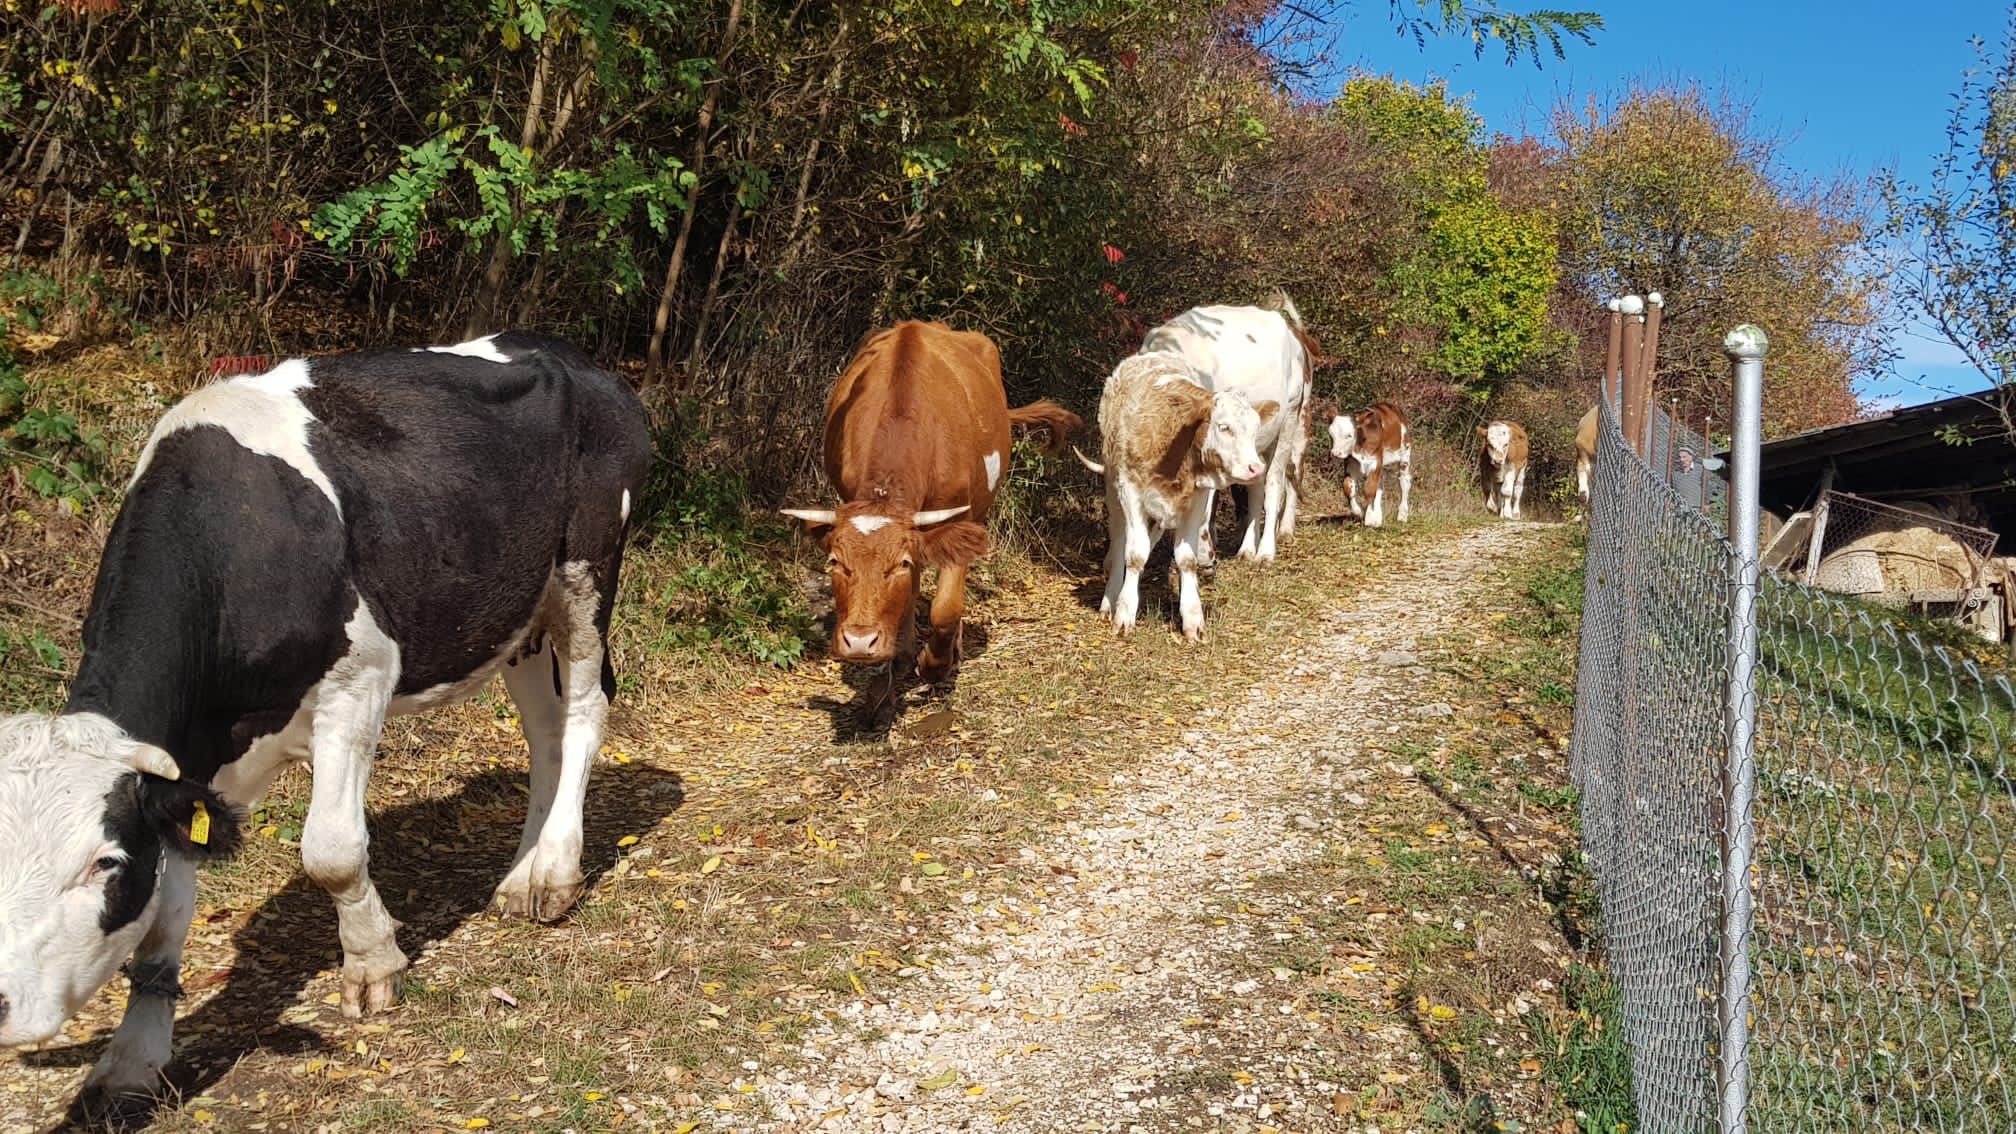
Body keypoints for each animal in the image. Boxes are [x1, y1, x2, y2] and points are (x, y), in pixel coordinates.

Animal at [0, 328, 649, 1113]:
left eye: (105, 862)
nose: (0, 1005)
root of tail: (566, 354)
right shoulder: (188, 766)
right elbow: (162, 927)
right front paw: (131, 1062)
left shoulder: (359, 677)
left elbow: (332, 852)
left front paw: (374, 963)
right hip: (514, 614)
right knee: (545, 731)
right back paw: (521, 876)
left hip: (586, 570)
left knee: (583, 712)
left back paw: (553, 873)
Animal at [778, 320, 1080, 706]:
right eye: (835, 562)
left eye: (900, 564)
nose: (859, 642)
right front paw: (896, 667)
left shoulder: (957, 518)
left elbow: (945, 608)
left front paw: (935, 665)